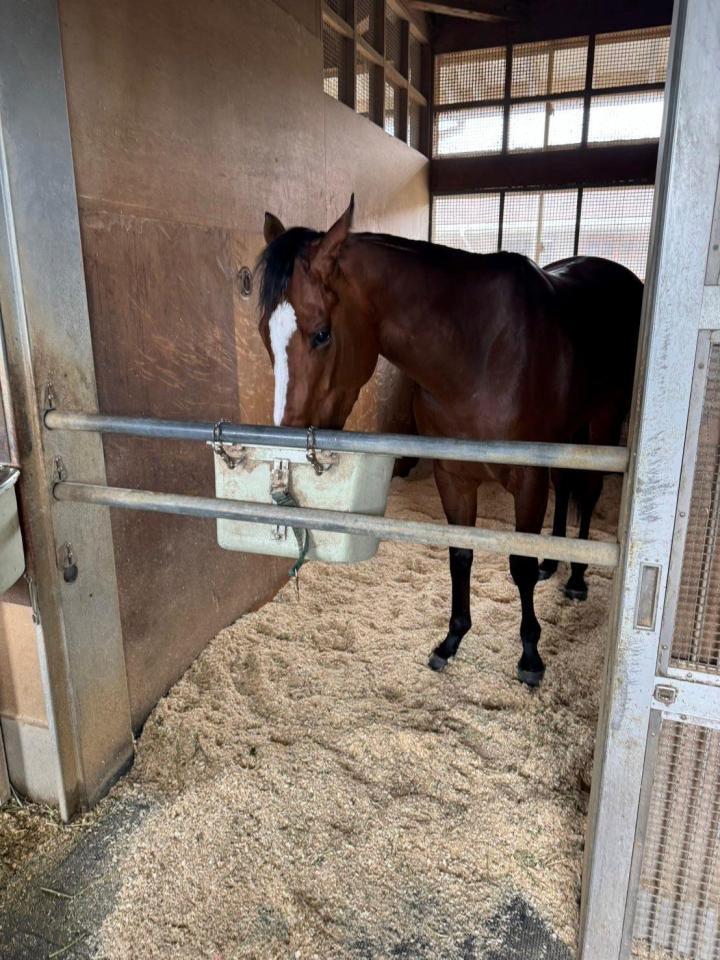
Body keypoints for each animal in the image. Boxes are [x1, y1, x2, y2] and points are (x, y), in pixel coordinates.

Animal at [256, 196, 643, 686]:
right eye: (264, 335)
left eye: (321, 333)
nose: (283, 442)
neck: (478, 352)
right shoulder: (452, 475)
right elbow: (460, 554)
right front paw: (452, 640)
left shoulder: (528, 479)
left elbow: (518, 565)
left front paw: (530, 655)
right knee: (568, 486)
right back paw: (552, 562)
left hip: (602, 422)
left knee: (587, 491)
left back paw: (575, 578)